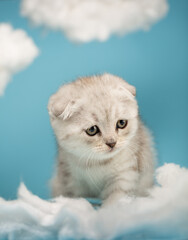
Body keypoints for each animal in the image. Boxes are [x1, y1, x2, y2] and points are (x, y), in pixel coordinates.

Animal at [47, 73, 155, 206]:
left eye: (121, 123)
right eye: (92, 130)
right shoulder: (70, 179)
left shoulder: (125, 174)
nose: (112, 143)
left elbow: (115, 201)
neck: (98, 162)